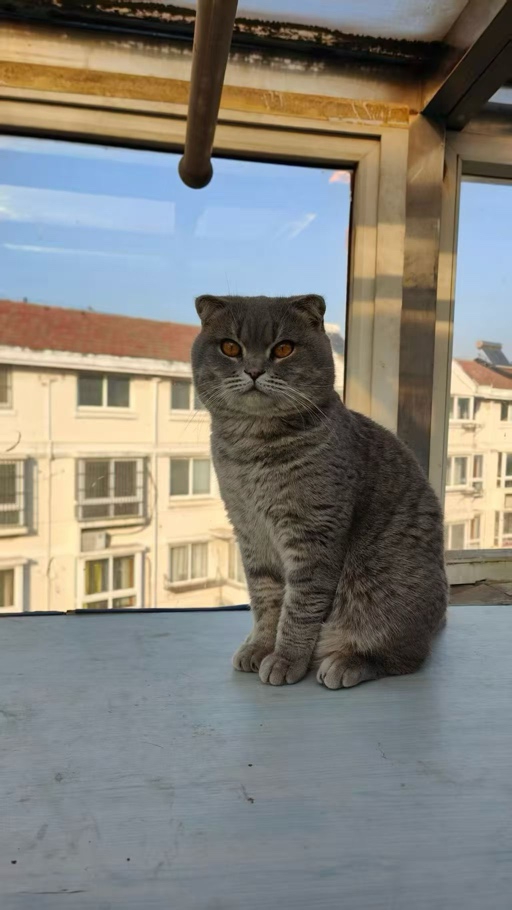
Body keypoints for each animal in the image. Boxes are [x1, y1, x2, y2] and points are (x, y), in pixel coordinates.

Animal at [192, 294, 448, 688]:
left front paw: (285, 658)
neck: (253, 448)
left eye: (283, 348)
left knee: (402, 657)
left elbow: (299, 607)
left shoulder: (313, 533)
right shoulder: (249, 531)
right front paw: (259, 647)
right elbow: (266, 601)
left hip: (384, 592)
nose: (253, 370)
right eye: (230, 347)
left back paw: (345, 661)